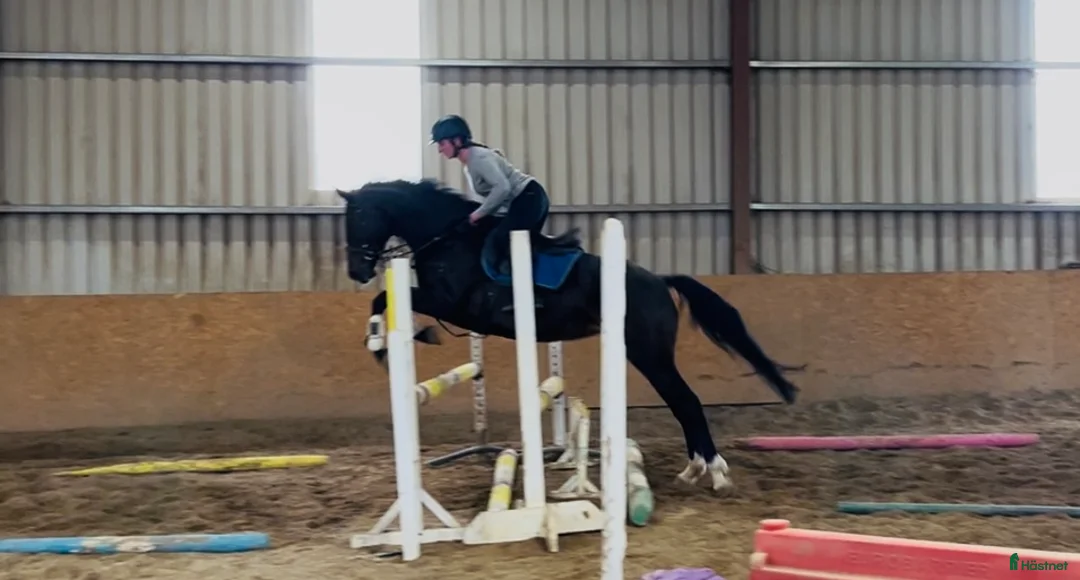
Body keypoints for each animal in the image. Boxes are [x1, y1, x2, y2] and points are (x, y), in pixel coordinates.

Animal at [337, 178, 802, 494]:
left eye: (358, 217)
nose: (356, 271)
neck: (446, 240)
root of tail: (658, 280)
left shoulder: (450, 303)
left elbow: (384, 298)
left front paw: (388, 342)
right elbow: (384, 299)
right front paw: (385, 339)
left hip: (649, 354)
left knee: (686, 402)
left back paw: (714, 472)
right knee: (683, 404)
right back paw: (695, 470)